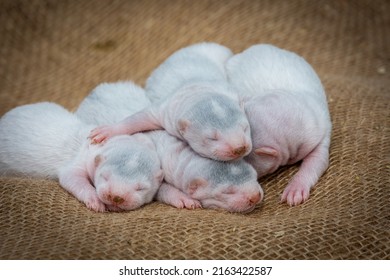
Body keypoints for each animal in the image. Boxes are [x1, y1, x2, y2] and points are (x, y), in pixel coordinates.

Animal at [76, 81, 264, 212]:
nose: (240, 148)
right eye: (227, 192)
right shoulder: (166, 111)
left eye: (245, 128)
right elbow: (140, 118)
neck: (200, 92)